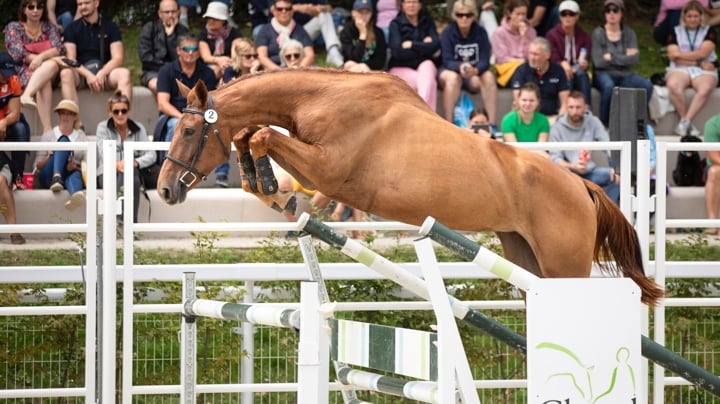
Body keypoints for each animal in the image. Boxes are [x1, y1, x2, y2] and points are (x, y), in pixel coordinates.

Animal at [158, 68, 664, 306]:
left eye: (189, 130)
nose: (164, 192)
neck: (324, 98)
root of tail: (583, 189)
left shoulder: (329, 169)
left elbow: (261, 134)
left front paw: (275, 189)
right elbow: (250, 135)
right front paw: (267, 186)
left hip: (564, 264)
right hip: (525, 258)